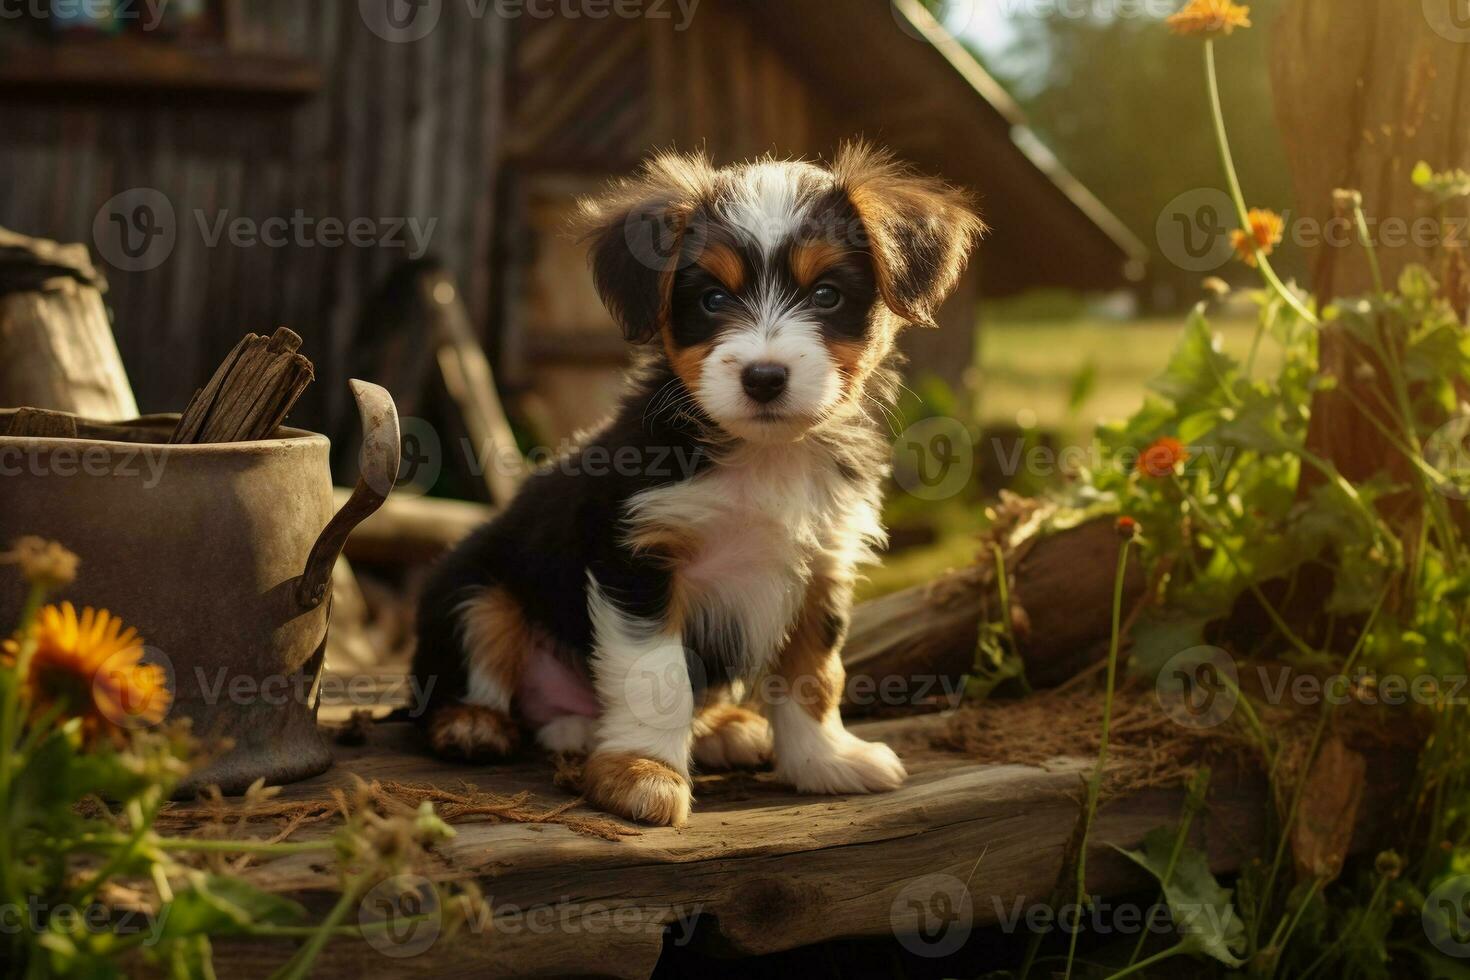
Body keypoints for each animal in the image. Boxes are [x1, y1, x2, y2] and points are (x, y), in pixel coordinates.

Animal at [414, 141, 981, 822]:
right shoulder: (639, 557)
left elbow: (815, 673)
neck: (766, 454)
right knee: (479, 650)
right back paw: (475, 723)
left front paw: (824, 761)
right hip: (475, 583)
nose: (764, 377)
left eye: (825, 295)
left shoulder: (822, 565)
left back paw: (713, 729)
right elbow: (658, 678)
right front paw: (642, 774)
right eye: (711, 300)